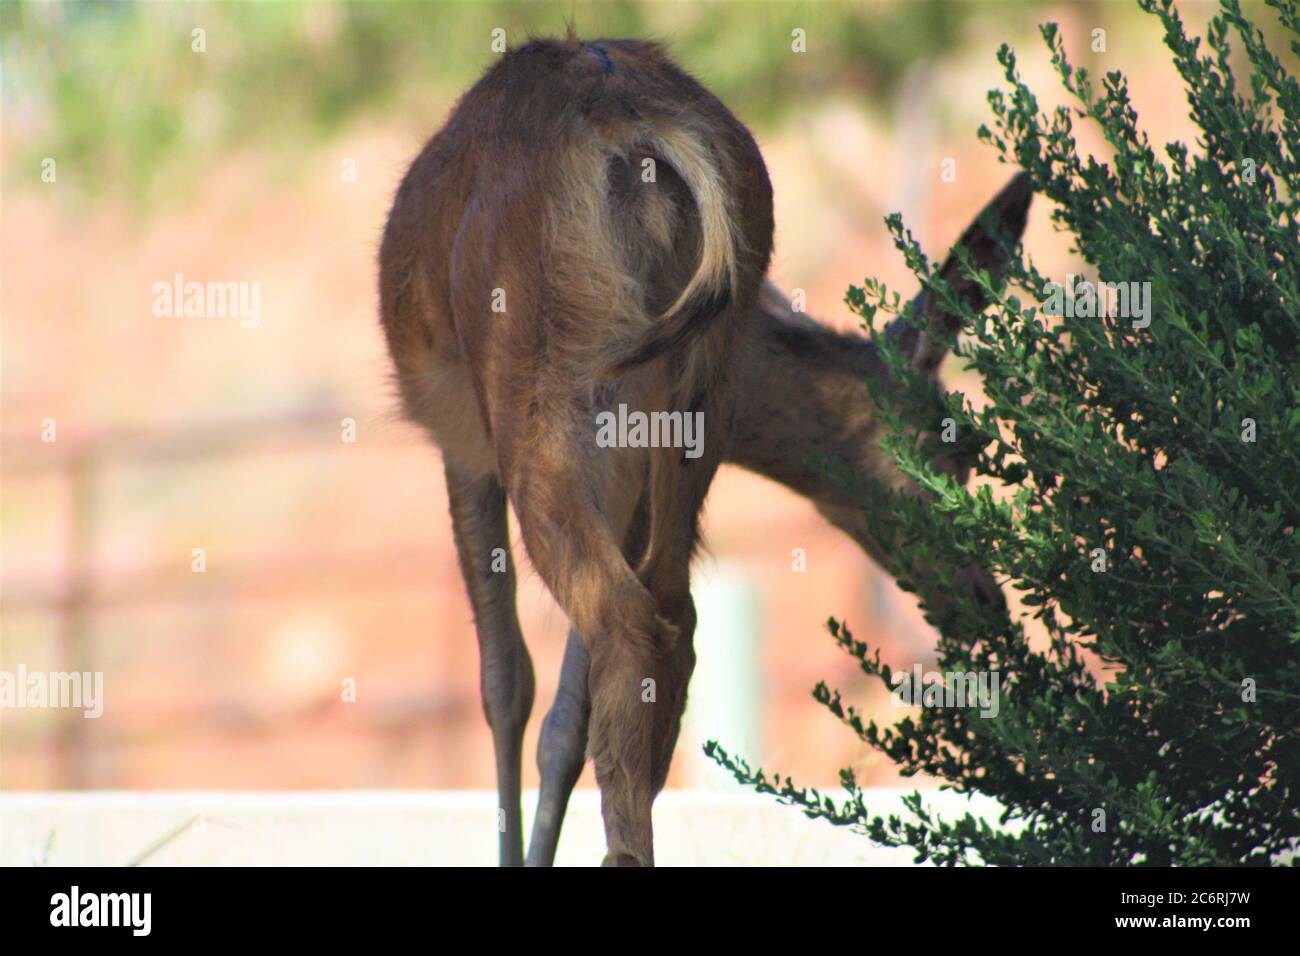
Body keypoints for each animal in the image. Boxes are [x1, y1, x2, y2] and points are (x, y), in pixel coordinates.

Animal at [379, 31, 1034, 868]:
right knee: (671, 624)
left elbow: (506, 682)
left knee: (622, 622)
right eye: (965, 449)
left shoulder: (458, 443)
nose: (988, 601)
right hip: (688, 408)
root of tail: (642, 131)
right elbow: (564, 712)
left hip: (536, 396)